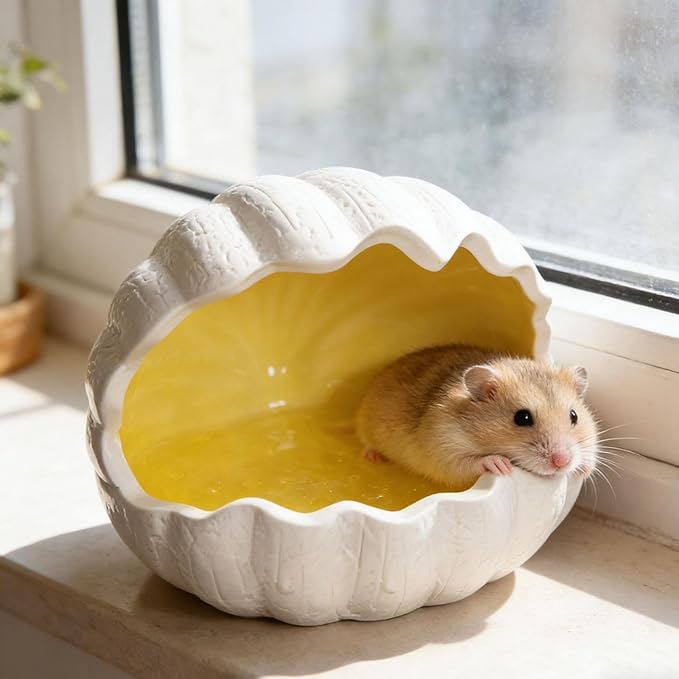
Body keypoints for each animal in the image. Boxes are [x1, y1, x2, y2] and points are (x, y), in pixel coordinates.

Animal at [356, 344, 598, 487]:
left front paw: (584, 470)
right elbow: (468, 463)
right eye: (522, 418)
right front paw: (500, 464)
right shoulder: (443, 449)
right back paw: (373, 457)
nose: (562, 463)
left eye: (574, 416)